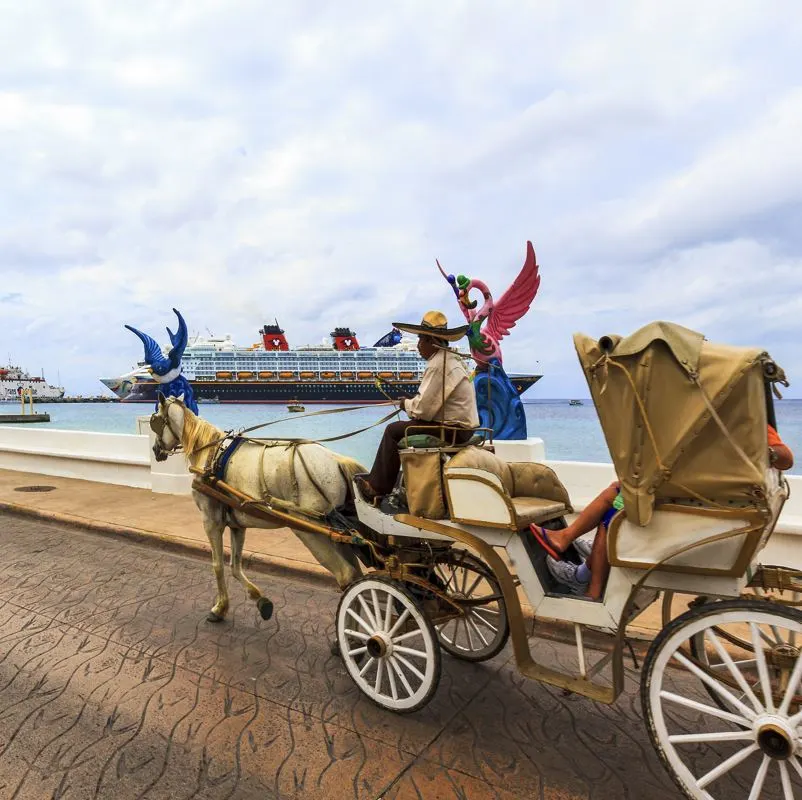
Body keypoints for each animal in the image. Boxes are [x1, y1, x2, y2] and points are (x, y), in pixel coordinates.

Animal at [148, 394, 364, 624]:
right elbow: (235, 566)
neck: (209, 454)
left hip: (311, 529)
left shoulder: (211, 521)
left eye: (156, 421)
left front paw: (220, 608)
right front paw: (260, 600)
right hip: (338, 532)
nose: (156, 450)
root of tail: (337, 460)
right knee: (357, 575)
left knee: (347, 575)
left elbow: (218, 565)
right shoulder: (237, 524)